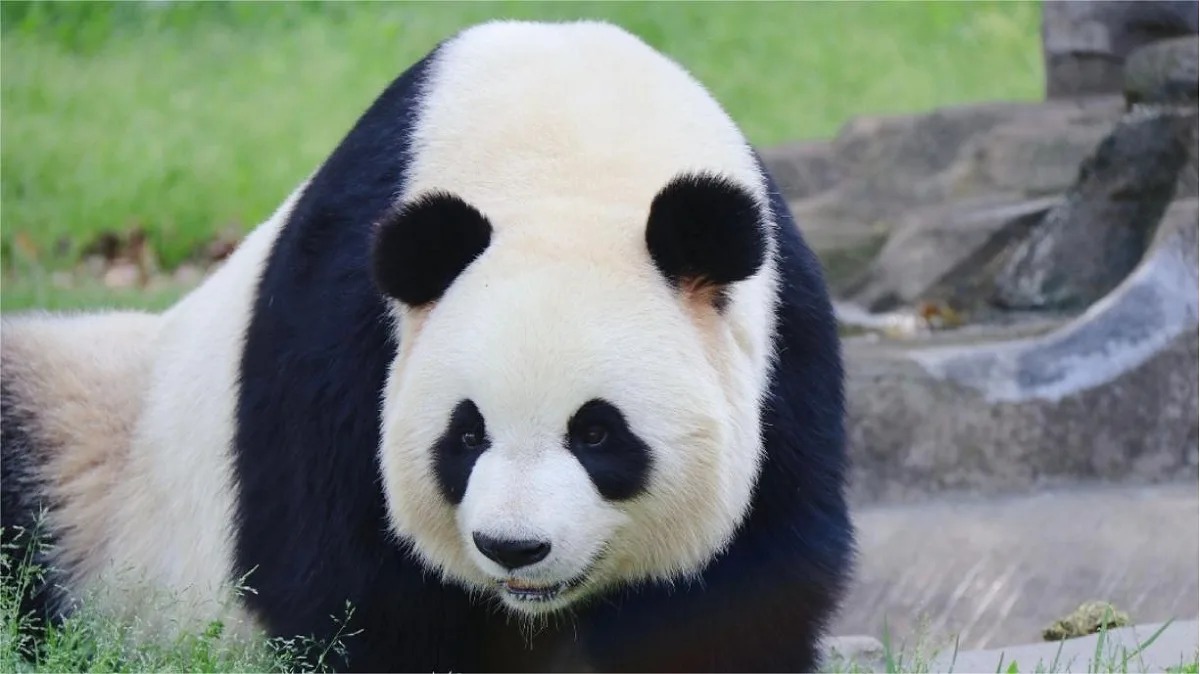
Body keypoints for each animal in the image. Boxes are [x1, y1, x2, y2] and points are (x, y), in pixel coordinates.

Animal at [2, 19, 854, 673]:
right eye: (465, 433)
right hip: (93, 444)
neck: (568, 156)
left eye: (597, 432)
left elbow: (736, 592)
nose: (514, 547)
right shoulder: (342, 334)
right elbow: (349, 588)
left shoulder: (784, 359)